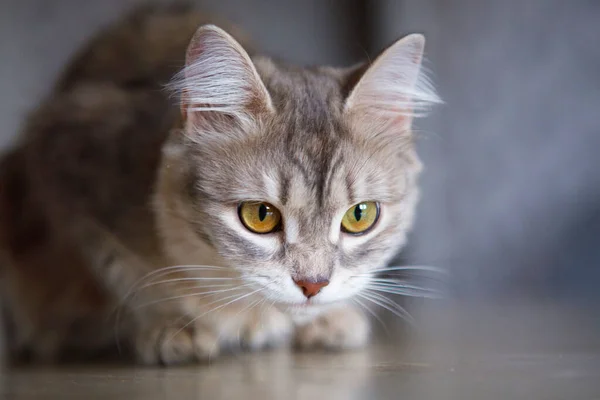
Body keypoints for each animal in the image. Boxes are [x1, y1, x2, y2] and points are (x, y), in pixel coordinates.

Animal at [0, 3, 440, 366]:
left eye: (360, 216)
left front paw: (330, 319)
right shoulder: (66, 164)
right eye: (260, 215)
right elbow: (119, 279)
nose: (313, 286)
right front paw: (173, 326)